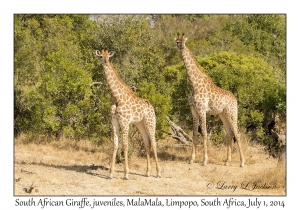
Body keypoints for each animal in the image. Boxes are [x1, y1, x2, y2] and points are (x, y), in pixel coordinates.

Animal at [96, 48, 162, 179]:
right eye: (100, 56)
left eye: (108, 57)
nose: (105, 62)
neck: (117, 98)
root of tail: (152, 107)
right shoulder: (114, 122)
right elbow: (115, 145)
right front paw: (110, 173)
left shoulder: (125, 122)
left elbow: (125, 145)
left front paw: (126, 173)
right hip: (140, 124)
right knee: (147, 143)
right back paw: (147, 172)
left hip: (150, 122)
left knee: (154, 142)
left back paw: (158, 172)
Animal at [175, 33, 245, 167]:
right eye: (177, 42)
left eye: (185, 42)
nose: (181, 47)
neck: (194, 84)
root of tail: (235, 99)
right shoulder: (194, 111)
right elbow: (194, 134)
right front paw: (191, 159)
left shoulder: (202, 110)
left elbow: (204, 133)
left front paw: (204, 160)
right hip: (223, 114)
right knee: (229, 133)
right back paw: (227, 161)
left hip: (232, 113)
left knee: (237, 133)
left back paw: (242, 162)